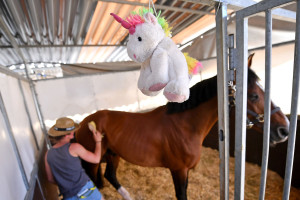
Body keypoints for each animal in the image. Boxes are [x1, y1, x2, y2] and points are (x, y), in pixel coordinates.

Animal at [76, 54, 290, 200]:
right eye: (253, 95)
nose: (284, 129)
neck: (184, 126)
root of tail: (84, 123)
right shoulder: (178, 170)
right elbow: (181, 195)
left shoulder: (185, 171)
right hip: (92, 161)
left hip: (114, 154)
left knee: (109, 175)